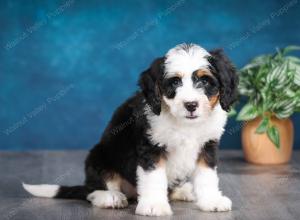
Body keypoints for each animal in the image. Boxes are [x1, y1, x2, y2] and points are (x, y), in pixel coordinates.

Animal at [22, 43, 239, 217]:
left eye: (205, 81)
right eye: (175, 82)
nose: (191, 105)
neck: (184, 124)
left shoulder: (208, 146)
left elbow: (207, 176)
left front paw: (211, 201)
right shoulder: (150, 147)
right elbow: (154, 177)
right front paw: (154, 205)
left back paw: (183, 191)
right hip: (98, 156)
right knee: (92, 190)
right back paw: (110, 197)